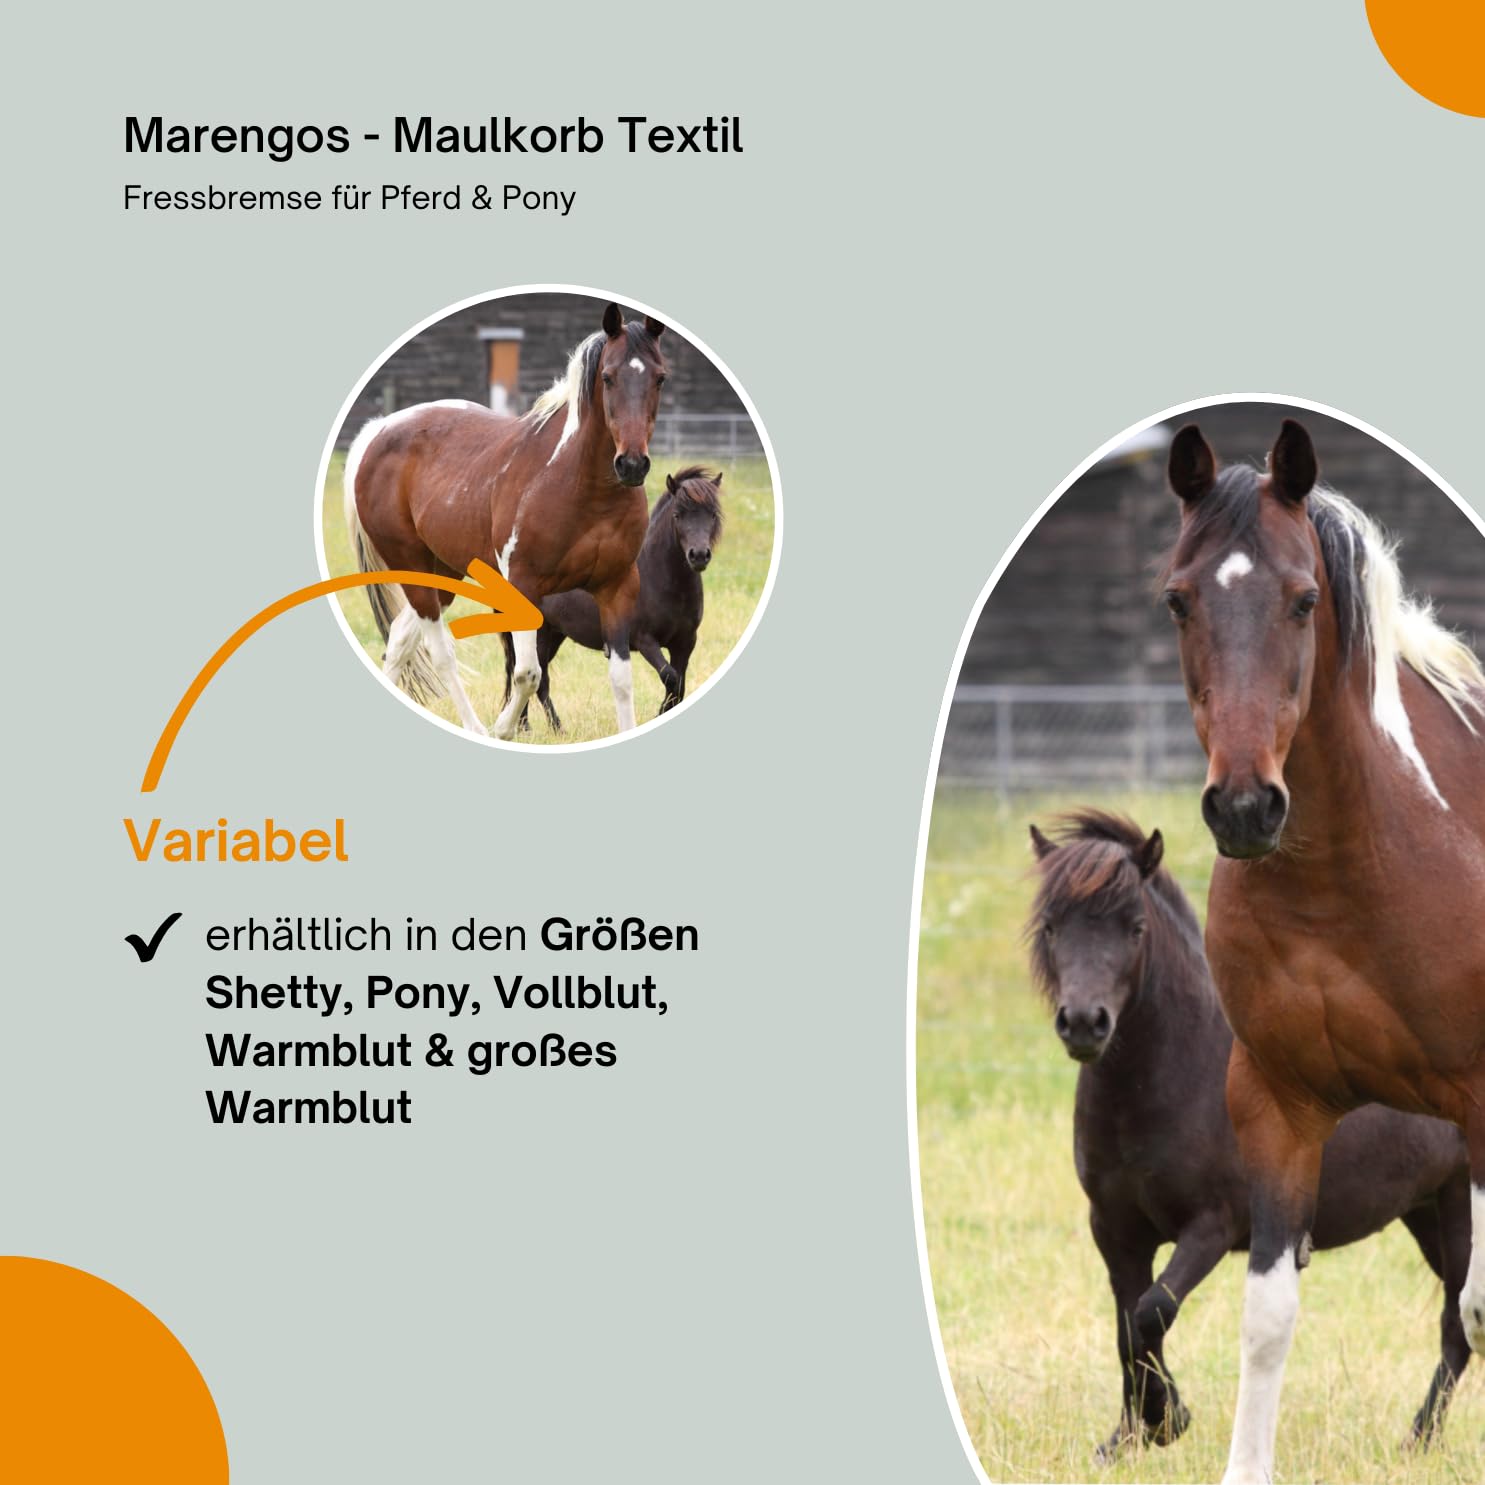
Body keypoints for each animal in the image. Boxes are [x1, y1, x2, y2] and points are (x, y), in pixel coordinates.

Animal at [342, 302, 667, 740]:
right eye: (607, 377)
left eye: (660, 378)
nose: (632, 465)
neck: (580, 486)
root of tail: (379, 430)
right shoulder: (523, 587)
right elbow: (528, 673)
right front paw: (503, 729)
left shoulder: (616, 588)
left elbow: (621, 678)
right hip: (412, 568)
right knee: (440, 650)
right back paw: (478, 728)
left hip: (442, 571)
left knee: (399, 640)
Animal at [500, 466, 724, 731]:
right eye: (678, 515)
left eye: (712, 515)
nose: (698, 555)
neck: (659, 577)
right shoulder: (645, 640)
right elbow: (670, 677)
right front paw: (657, 715)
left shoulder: (685, 643)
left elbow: (678, 686)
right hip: (539, 633)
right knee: (533, 676)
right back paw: (540, 728)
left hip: (554, 634)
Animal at [1027, 811, 1472, 1462]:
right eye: (1052, 926)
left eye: (1135, 928)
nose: (1085, 1023)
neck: (1177, 1070)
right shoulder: (1115, 1229)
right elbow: (1127, 1326)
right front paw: (1129, 1435)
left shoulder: (1212, 1226)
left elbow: (1151, 1313)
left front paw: (1166, 1421)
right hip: (1427, 1211)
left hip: (1460, 1207)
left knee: (1458, 1326)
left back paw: (1416, 1441)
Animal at [1159, 418, 1485, 1483]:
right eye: (1178, 600)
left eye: (1304, 599)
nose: (1244, 807)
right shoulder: (1277, 1103)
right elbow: (1266, 1317)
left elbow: (1478, 1307)